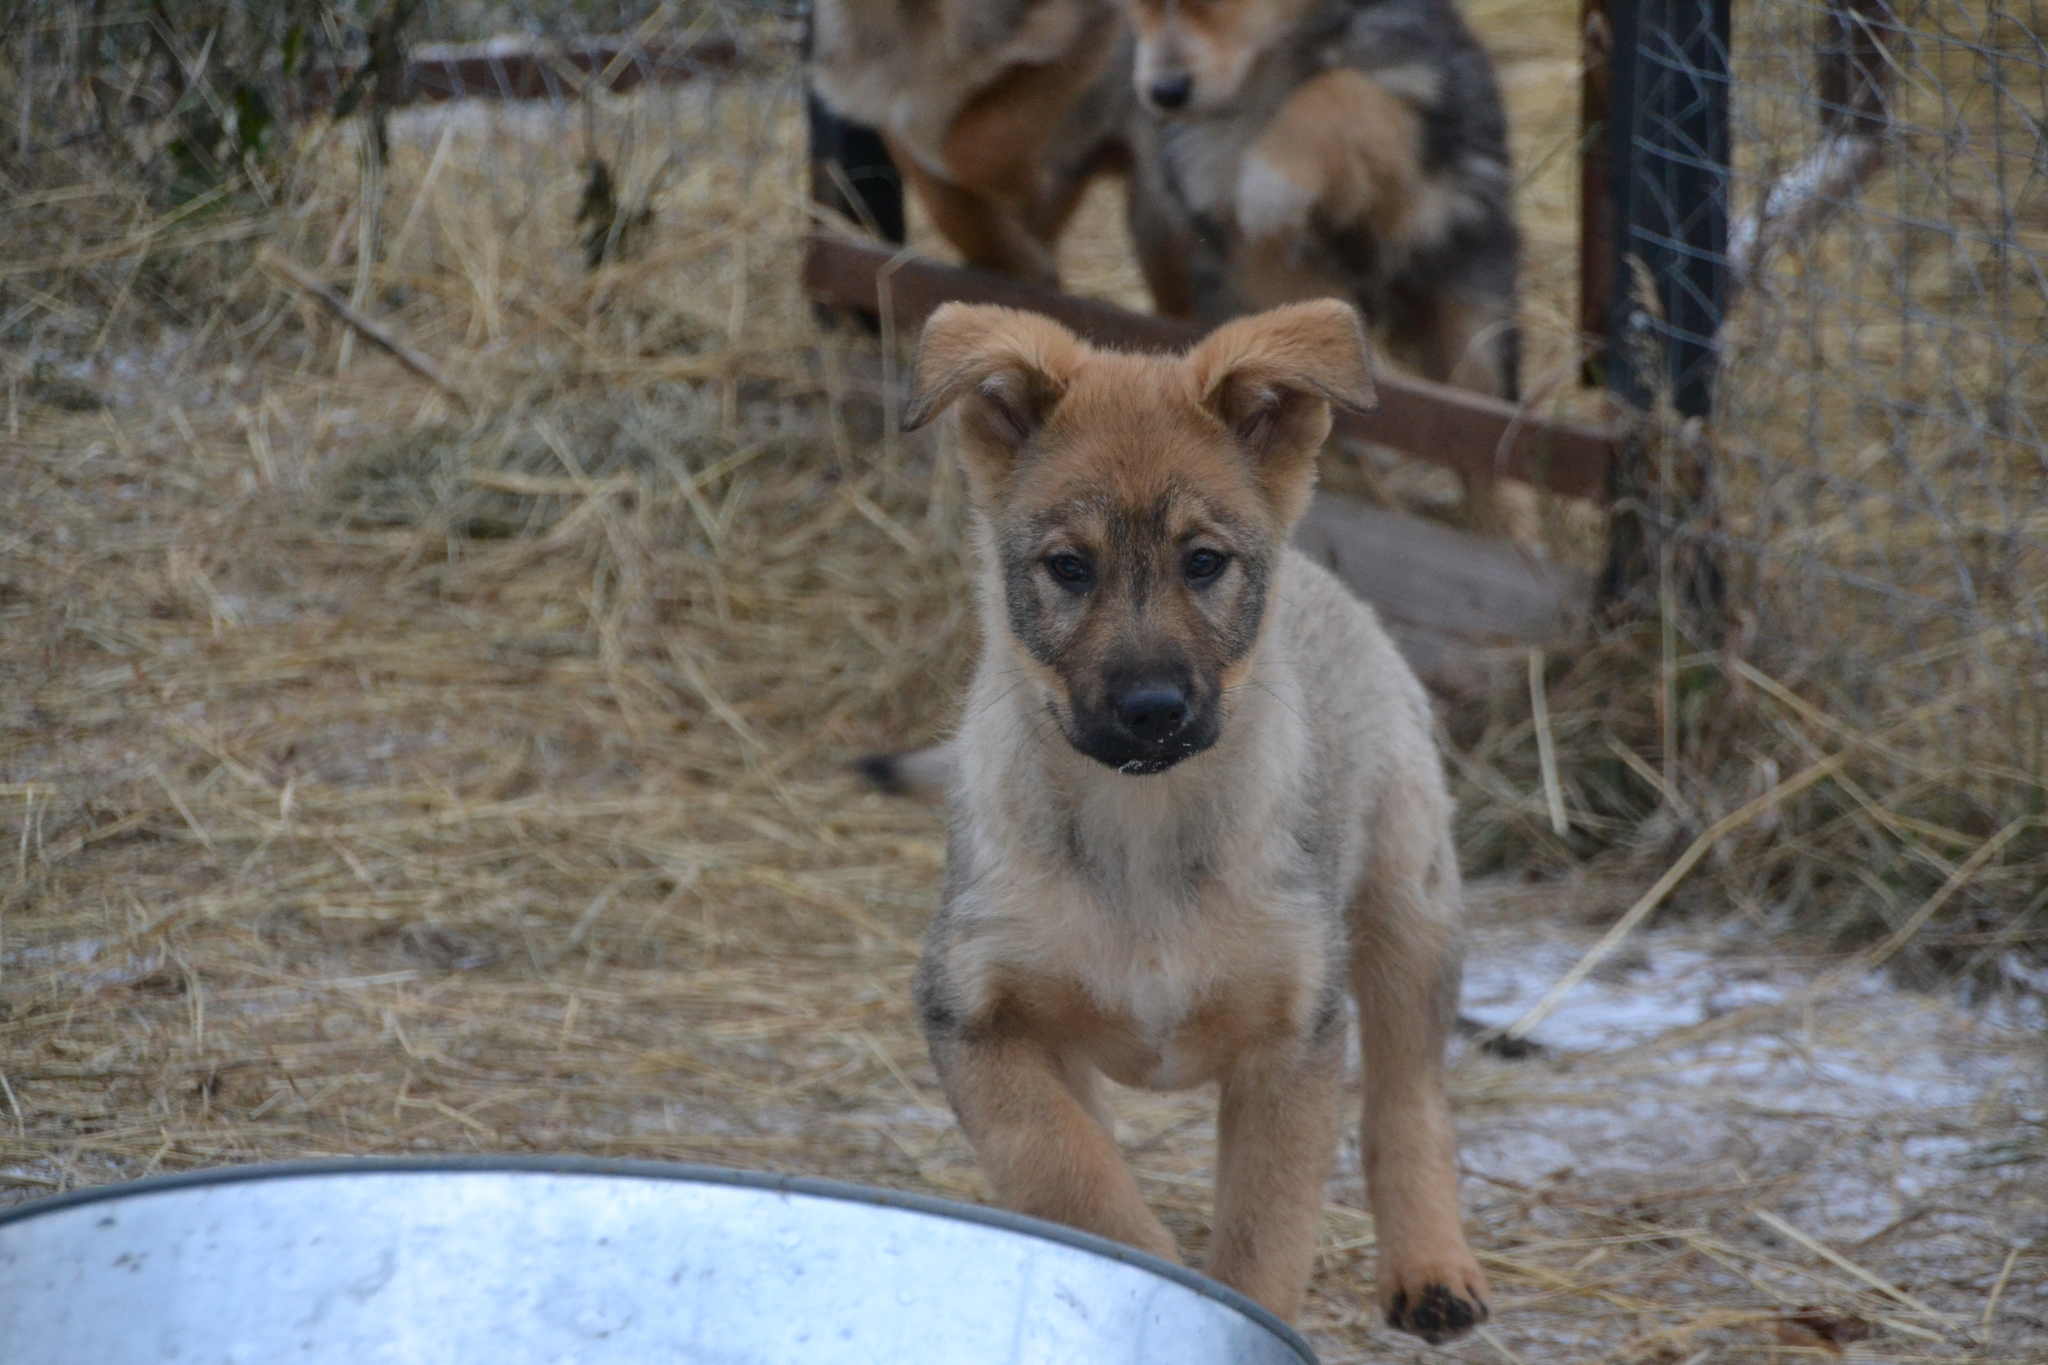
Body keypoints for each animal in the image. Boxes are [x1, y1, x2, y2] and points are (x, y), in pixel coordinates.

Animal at [897, 300, 1490, 1342]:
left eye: (1204, 562)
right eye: (1069, 567)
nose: (1151, 709)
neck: (1142, 826)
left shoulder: (1293, 1037)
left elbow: (1264, 1235)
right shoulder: (973, 1015)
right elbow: (1065, 1170)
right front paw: (1137, 1270)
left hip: (1410, 905)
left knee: (1408, 1097)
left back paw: (1432, 1267)